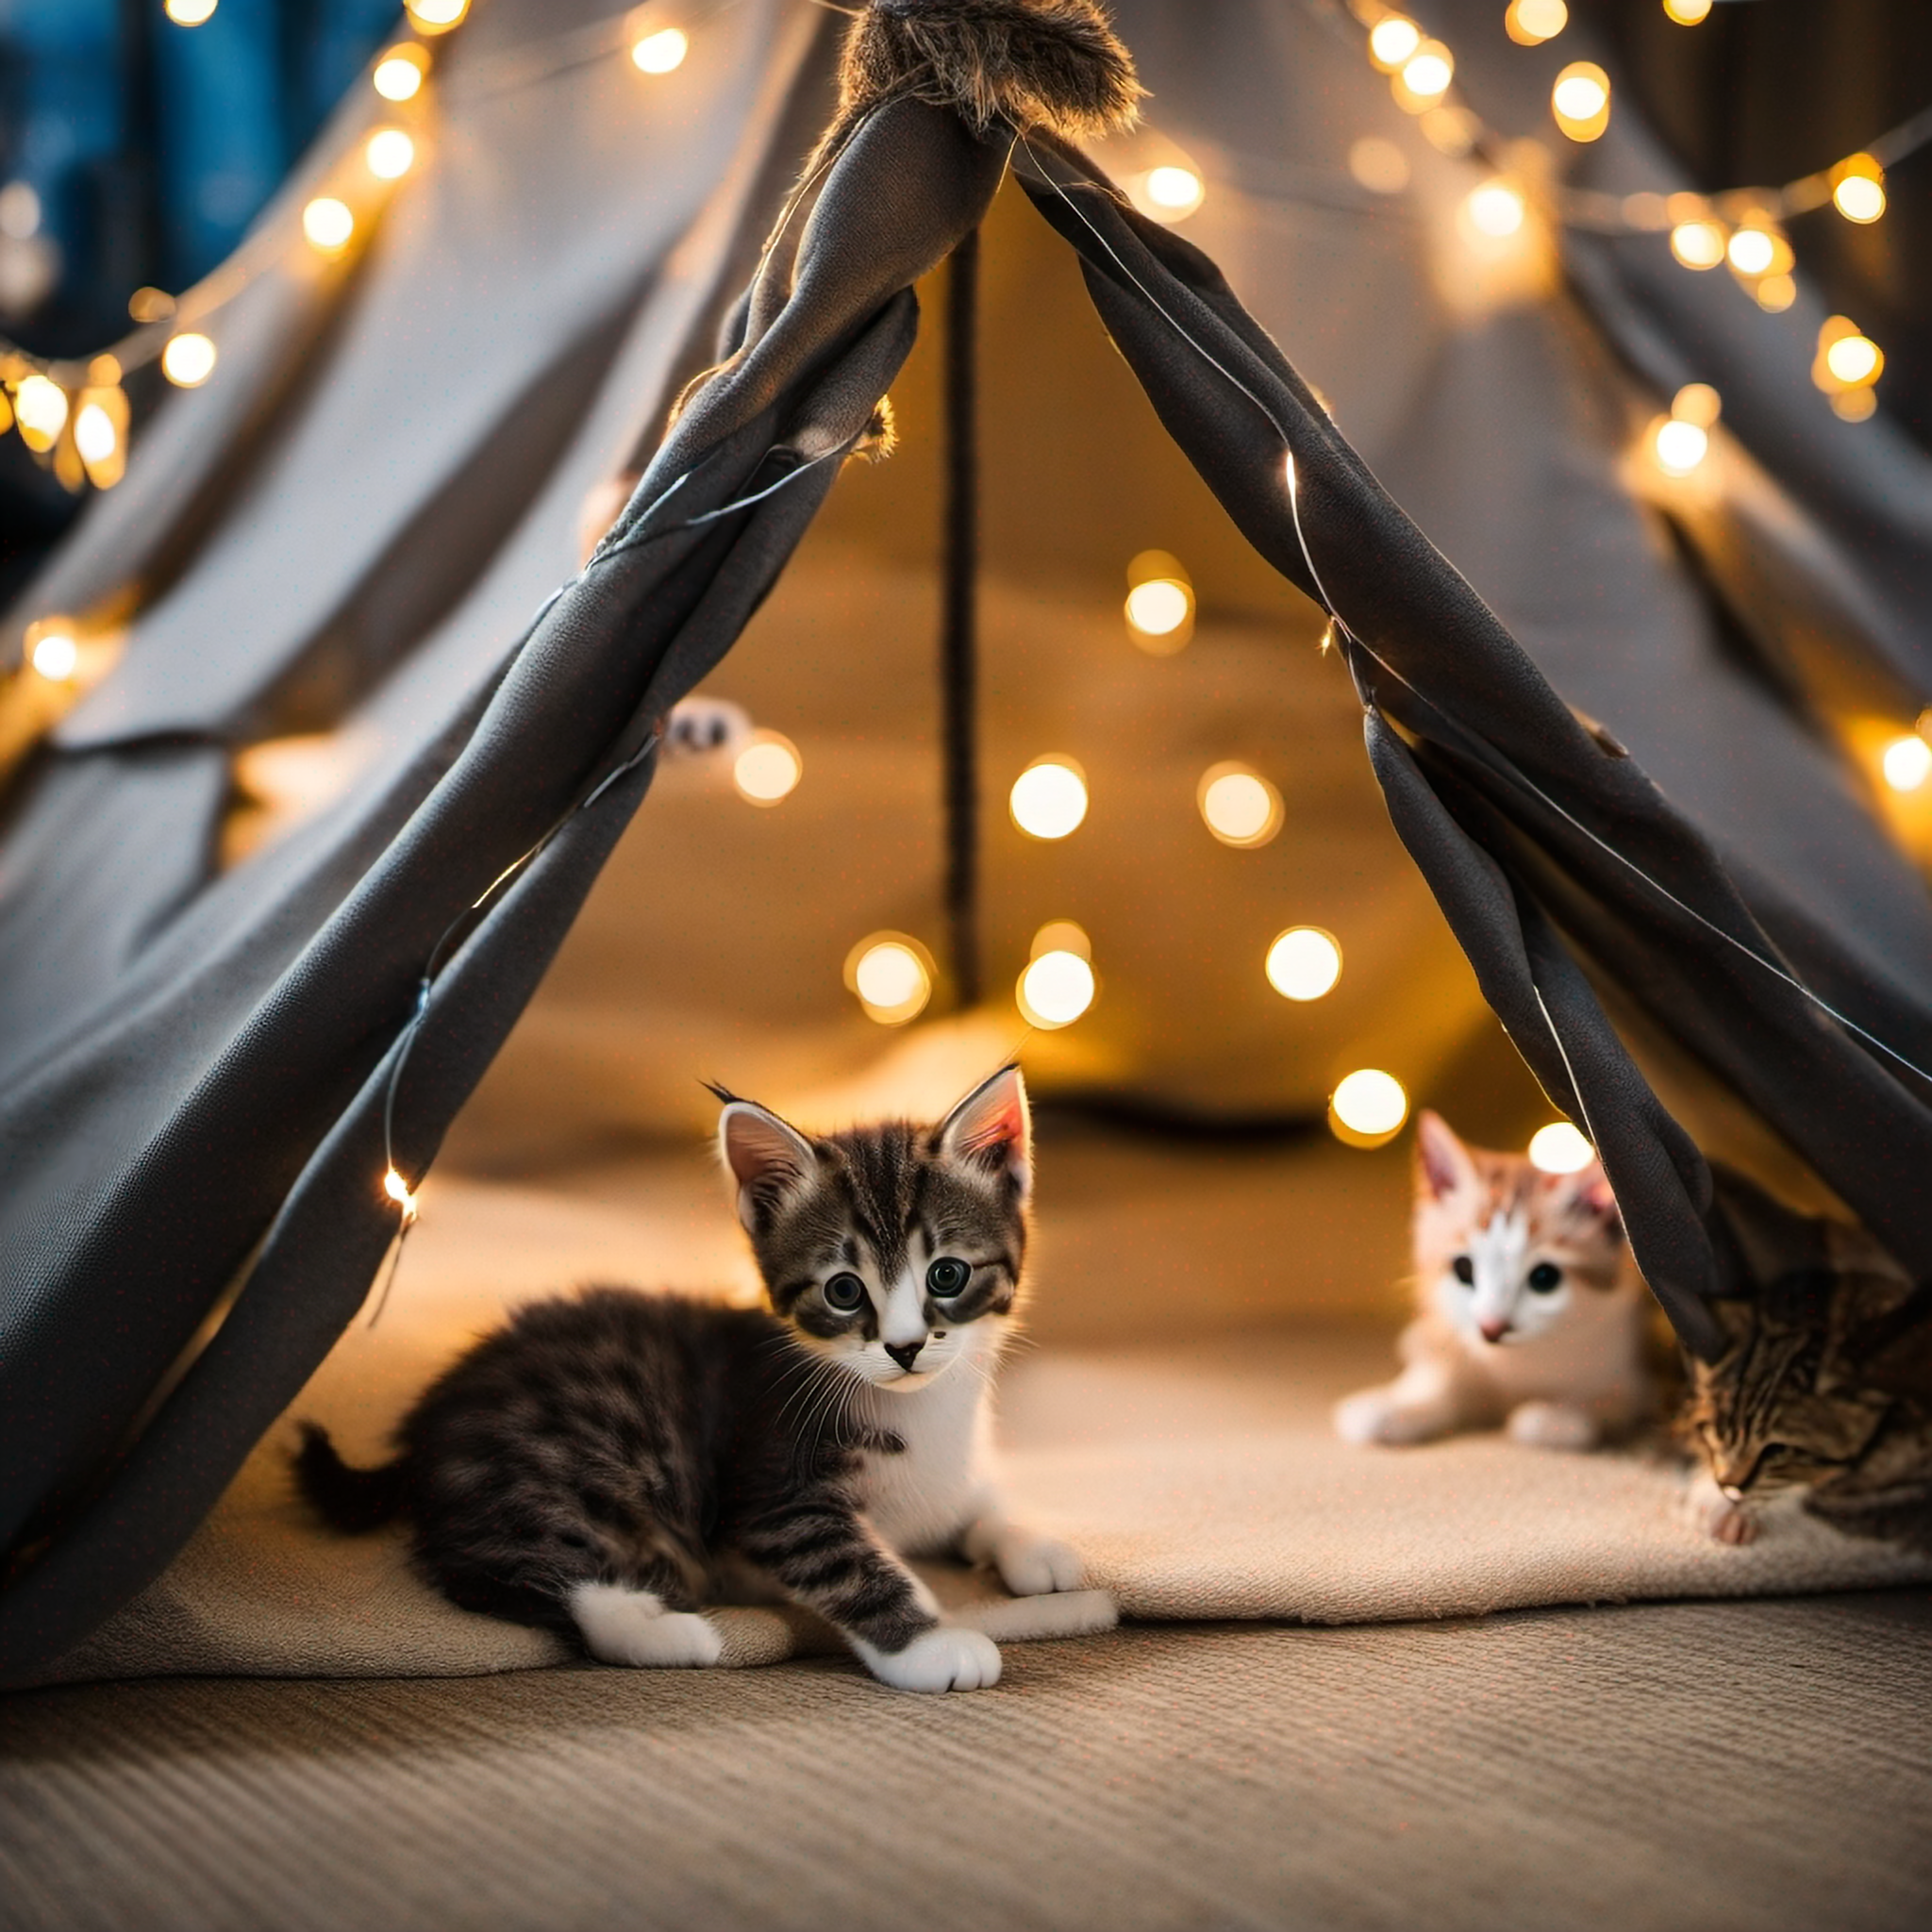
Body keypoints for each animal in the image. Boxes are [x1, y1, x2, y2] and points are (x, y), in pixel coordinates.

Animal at [299, 1074, 1090, 1692]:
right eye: (843, 1291)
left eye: (947, 1275)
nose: (902, 1347)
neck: (924, 1410)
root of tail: (430, 1424)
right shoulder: (773, 1494)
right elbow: (849, 1562)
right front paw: (933, 1642)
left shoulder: (941, 1475)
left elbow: (969, 1500)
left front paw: (1039, 1547)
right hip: (552, 1458)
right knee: (498, 1566)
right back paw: (664, 1630)